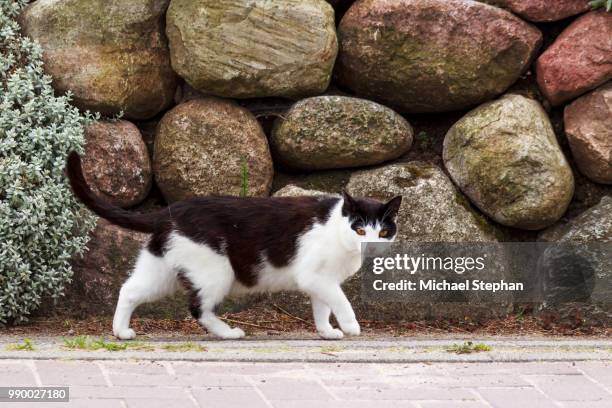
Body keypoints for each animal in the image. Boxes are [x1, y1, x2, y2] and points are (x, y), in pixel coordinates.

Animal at [65, 151, 402, 340]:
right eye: (360, 229)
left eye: (383, 231)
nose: (372, 244)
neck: (337, 231)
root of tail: (169, 211)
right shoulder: (316, 276)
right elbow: (340, 301)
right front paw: (350, 325)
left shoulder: (321, 280)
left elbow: (322, 306)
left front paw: (327, 331)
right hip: (217, 272)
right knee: (198, 308)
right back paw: (228, 333)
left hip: (160, 270)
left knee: (129, 290)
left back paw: (120, 332)